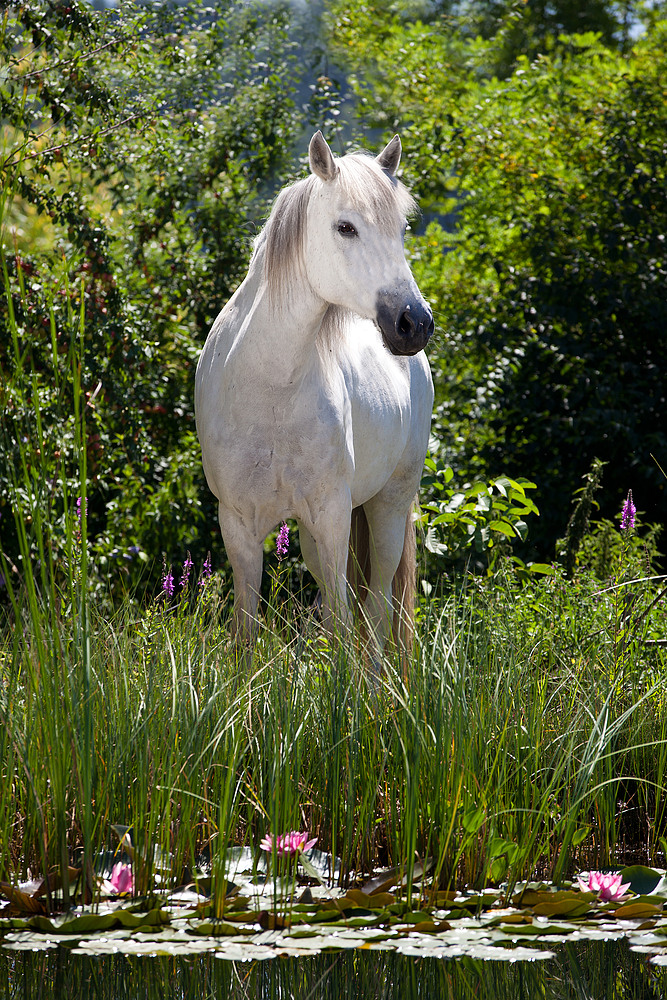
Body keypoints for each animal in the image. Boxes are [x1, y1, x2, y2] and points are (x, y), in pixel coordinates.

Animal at [194, 133, 434, 664]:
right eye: (345, 227)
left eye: (403, 227)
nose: (414, 323)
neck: (269, 393)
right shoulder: (239, 525)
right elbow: (246, 631)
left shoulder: (331, 515)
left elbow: (344, 623)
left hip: (388, 506)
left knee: (377, 609)